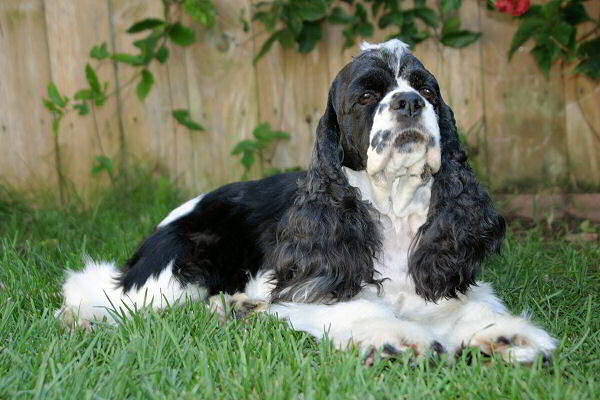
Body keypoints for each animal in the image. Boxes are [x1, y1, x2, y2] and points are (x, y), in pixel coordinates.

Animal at [57, 39, 556, 362]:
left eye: (428, 89)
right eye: (368, 95)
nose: (410, 102)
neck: (392, 211)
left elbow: (470, 306)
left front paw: (506, 336)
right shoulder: (314, 285)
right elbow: (358, 307)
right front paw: (398, 338)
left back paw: (237, 308)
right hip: (183, 268)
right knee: (99, 287)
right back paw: (81, 320)